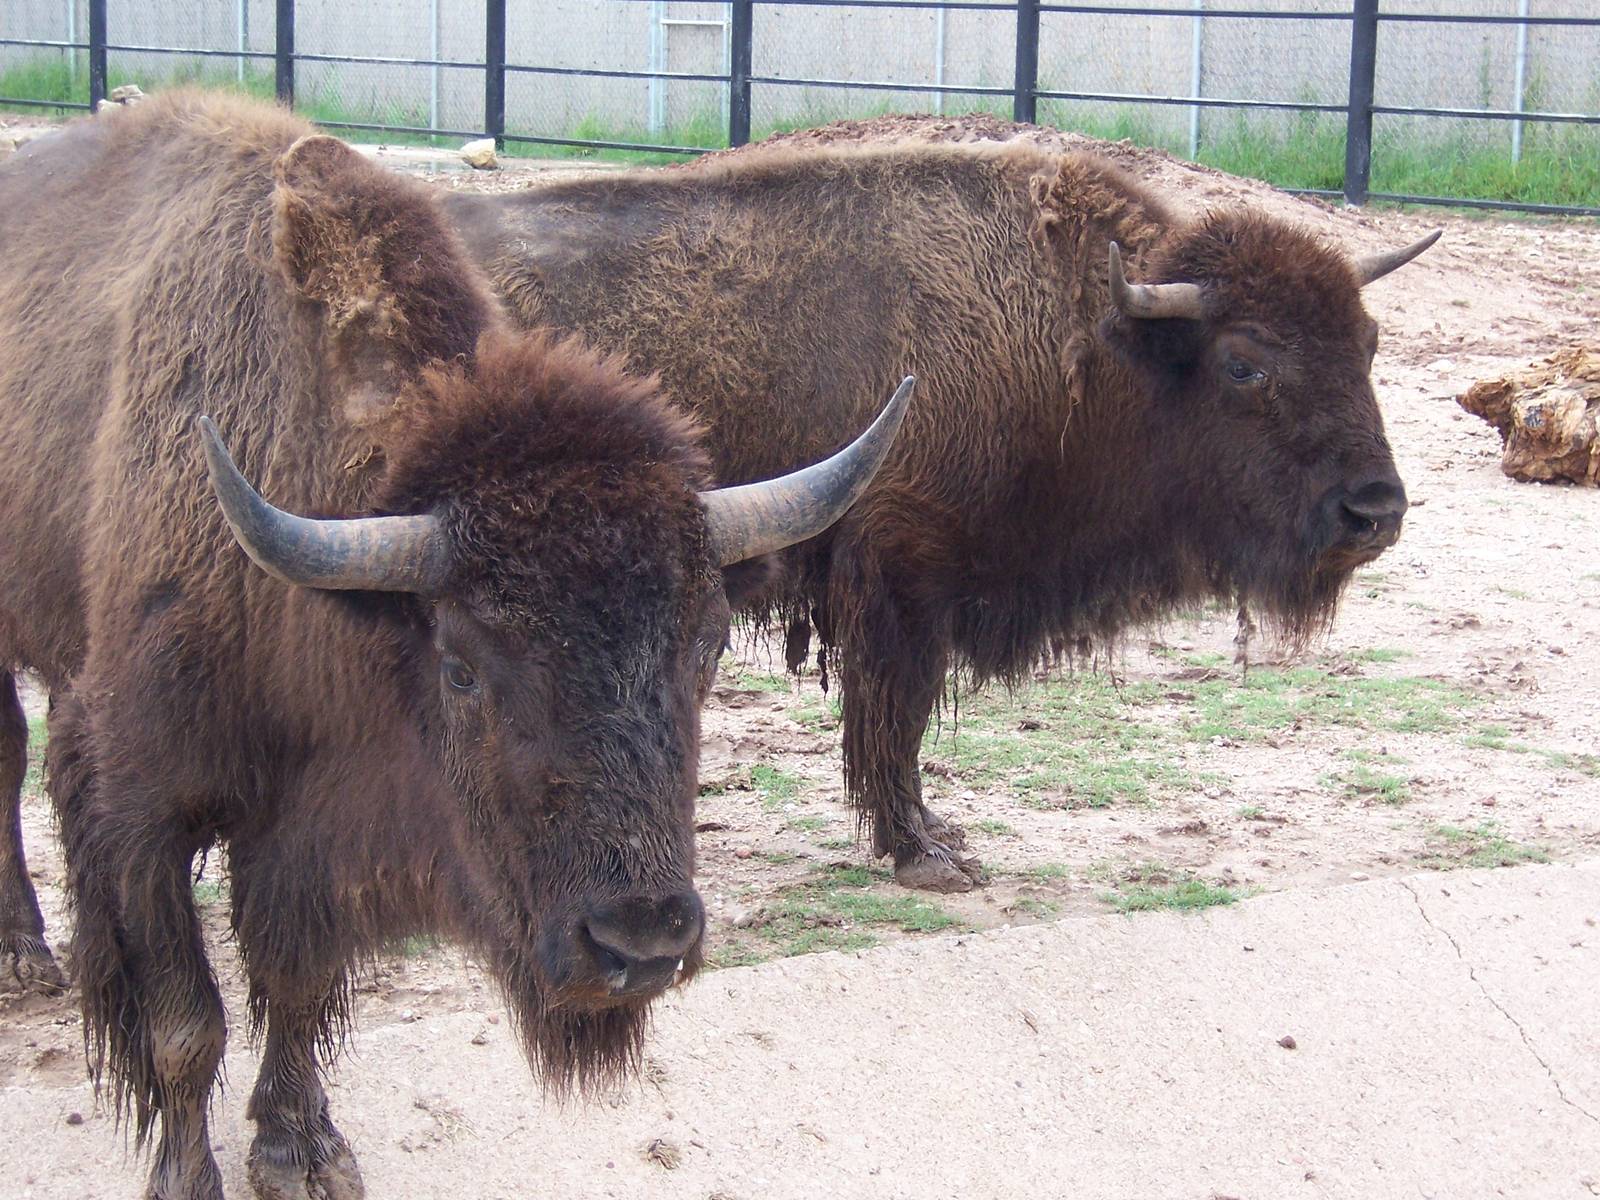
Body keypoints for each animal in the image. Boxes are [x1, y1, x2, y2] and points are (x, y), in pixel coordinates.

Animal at [0, 92, 906, 1199]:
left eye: (707, 648)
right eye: (463, 666)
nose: (639, 940)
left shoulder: (303, 827)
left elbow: (292, 984)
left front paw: (303, 1153)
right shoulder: (141, 808)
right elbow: (185, 1023)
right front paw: (186, 1177)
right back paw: (24, 956)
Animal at [447, 141, 1437, 893]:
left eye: (1369, 342)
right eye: (1242, 362)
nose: (1375, 511)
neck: (1089, 343)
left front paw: (939, 835)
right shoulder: (901, 580)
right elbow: (897, 716)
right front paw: (924, 856)